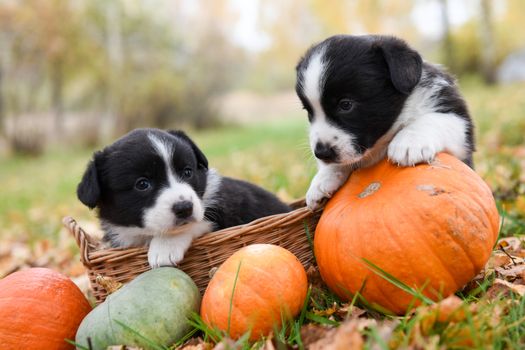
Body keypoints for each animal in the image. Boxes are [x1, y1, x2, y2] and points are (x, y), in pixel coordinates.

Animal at [77, 127, 290, 266]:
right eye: (142, 184)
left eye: (187, 172)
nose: (185, 208)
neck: (146, 234)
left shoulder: (222, 212)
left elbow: (198, 222)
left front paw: (165, 248)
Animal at [294, 35, 474, 209]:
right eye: (308, 111)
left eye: (345, 105)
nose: (321, 153)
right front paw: (321, 180)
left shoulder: (461, 126)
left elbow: (432, 119)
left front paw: (409, 143)